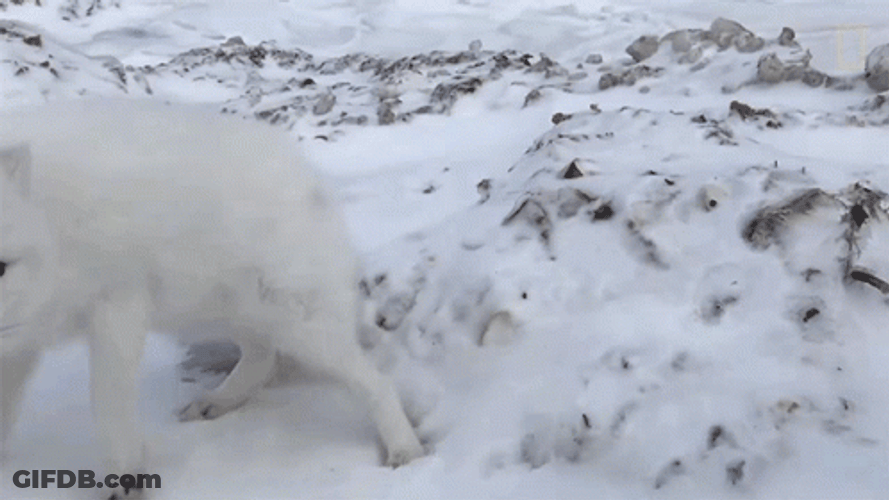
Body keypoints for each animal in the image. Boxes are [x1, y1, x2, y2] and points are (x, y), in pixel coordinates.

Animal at [0, 99, 424, 498]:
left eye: (2, 265)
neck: (51, 226)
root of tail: (308, 177)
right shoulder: (19, 339)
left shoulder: (117, 302)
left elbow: (109, 401)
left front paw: (124, 480)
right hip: (211, 314)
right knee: (262, 356)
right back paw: (216, 402)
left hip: (296, 322)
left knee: (375, 382)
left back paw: (406, 451)